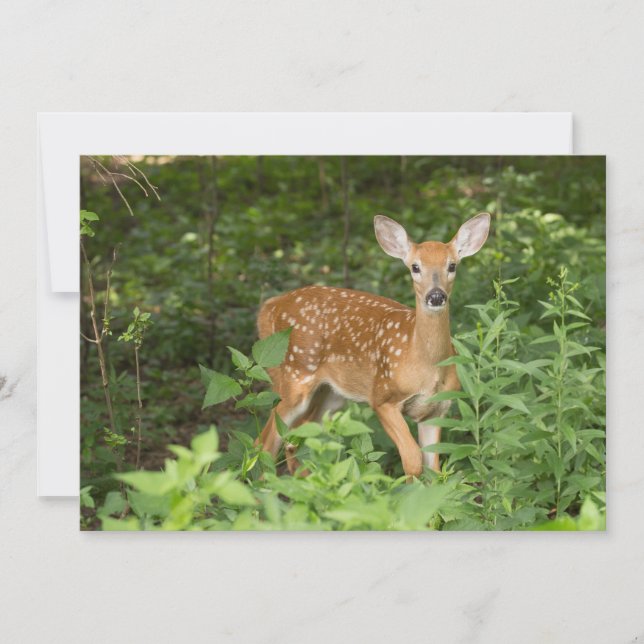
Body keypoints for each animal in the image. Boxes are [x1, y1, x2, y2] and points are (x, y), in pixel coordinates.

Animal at [256, 212, 491, 478]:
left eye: (452, 266)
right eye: (415, 267)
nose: (436, 296)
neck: (425, 363)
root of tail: (271, 306)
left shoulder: (436, 410)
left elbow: (434, 467)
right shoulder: (382, 396)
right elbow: (413, 459)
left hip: (332, 393)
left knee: (298, 436)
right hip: (295, 377)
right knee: (266, 440)